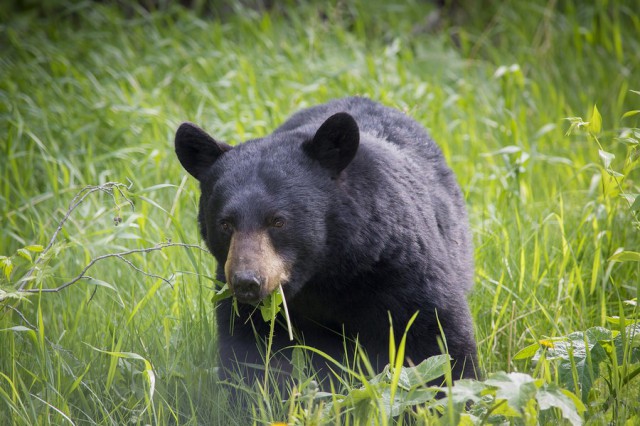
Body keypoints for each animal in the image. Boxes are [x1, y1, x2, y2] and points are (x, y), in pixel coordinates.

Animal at [174, 96, 476, 386]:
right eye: (225, 223)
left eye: (278, 221)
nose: (247, 281)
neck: (324, 274)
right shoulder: (247, 306)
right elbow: (250, 356)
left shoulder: (398, 268)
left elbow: (435, 337)